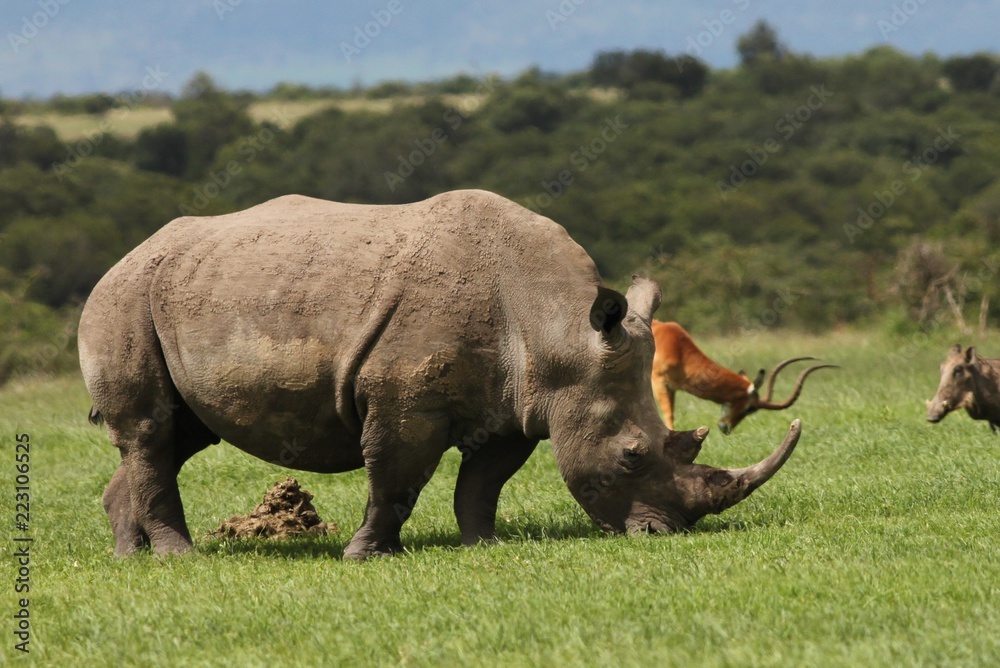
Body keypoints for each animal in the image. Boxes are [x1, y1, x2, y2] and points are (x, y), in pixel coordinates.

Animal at [79, 190, 802, 560]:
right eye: (631, 457)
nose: (664, 535)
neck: (560, 329)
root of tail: (123, 256)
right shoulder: (405, 404)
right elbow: (396, 478)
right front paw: (367, 556)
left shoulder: (522, 406)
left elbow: (482, 482)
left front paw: (484, 546)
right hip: (124, 298)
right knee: (151, 431)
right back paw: (179, 558)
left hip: (184, 291)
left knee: (178, 433)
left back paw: (130, 556)